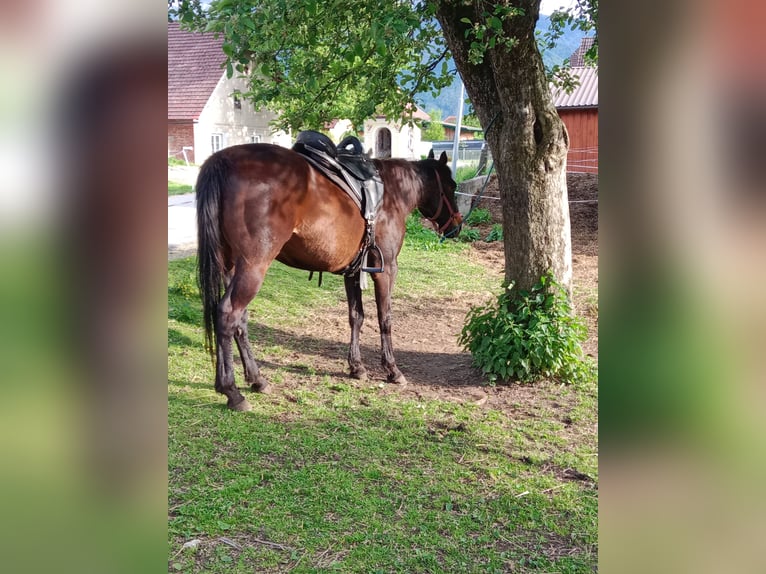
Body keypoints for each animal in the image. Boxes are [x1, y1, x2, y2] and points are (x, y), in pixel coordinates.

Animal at [198, 145, 462, 414]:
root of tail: (223, 160)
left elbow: (356, 317)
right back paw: (232, 391)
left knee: (237, 320)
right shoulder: (387, 269)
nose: (457, 226)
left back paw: (256, 379)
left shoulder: (354, 271)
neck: (391, 193)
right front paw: (392, 369)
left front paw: (356, 367)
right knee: (228, 314)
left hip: (230, 266)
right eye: (451, 185)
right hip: (253, 267)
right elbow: (384, 318)